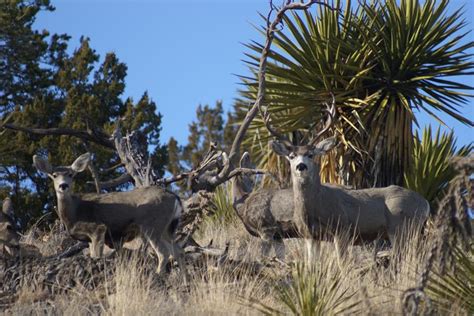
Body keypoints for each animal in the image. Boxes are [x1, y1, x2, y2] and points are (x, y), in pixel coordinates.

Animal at [33, 154, 187, 276]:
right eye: (54, 175)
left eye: (71, 174)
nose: (63, 185)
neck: (75, 212)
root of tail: (175, 198)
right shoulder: (90, 239)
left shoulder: (98, 228)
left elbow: (97, 255)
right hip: (167, 228)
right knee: (178, 250)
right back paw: (183, 280)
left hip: (152, 225)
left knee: (164, 253)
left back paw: (158, 274)